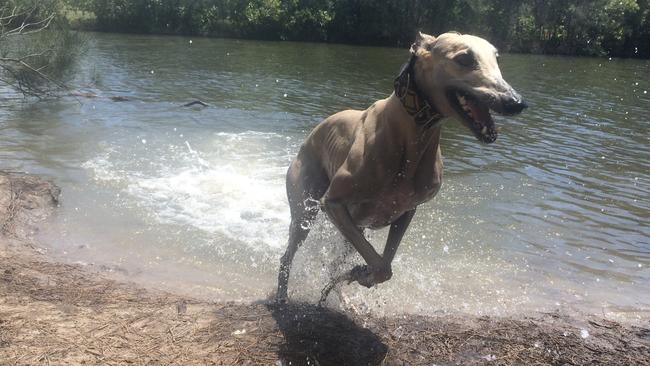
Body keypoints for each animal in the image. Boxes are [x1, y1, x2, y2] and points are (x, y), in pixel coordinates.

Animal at [276, 32, 524, 304]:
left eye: (497, 58)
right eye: (464, 58)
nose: (516, 102)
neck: (411, 138)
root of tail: (310, 137)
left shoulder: (406, 211)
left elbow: (383, 265)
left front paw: (359, 275)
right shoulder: (332, 203)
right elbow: (380, 265)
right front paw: (361, 273)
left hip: (353, 228)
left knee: (332, 262)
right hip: (305, 209)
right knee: (287, 255)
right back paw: (282, 297)